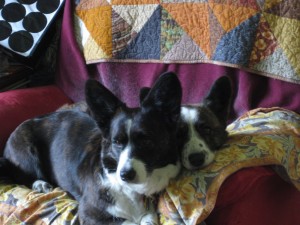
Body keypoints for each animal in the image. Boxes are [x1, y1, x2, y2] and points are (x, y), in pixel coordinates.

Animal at [0, 72, 183, 225]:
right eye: (117, 142)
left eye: (146, 141)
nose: (125, 175)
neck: (132, 190)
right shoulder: (90, 214)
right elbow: (126, 222)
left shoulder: (148, 213)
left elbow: (148, 219)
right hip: (28, 153)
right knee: (25, 177)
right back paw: (40, 184)